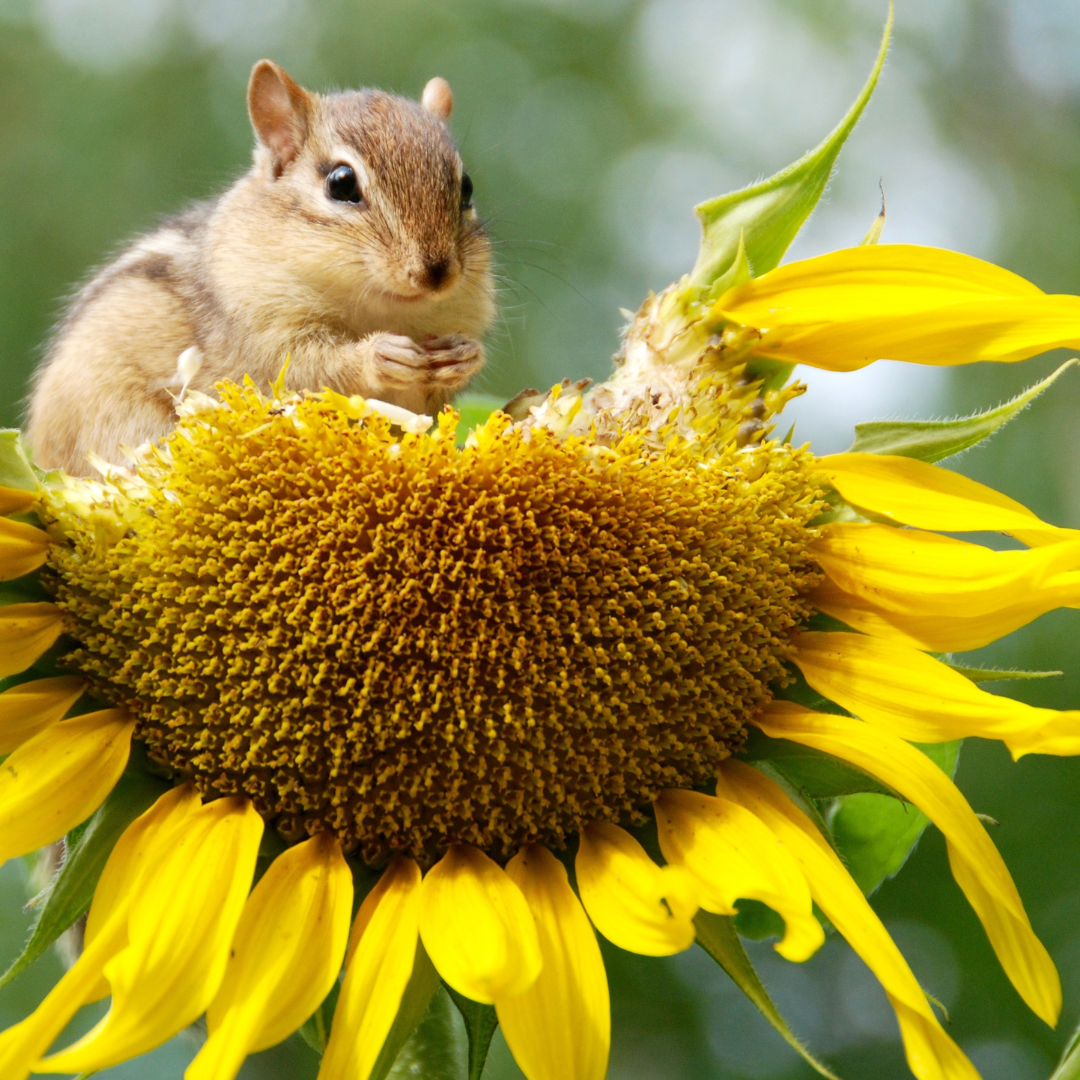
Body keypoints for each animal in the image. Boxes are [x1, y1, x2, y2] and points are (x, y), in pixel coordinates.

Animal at [26, 61, 495, 476]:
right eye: (341, 183)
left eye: (467, 187)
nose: (436, 273)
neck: (382, 309)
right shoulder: (261, 332)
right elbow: (310, 369)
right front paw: (378, 354)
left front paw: (464, 355)